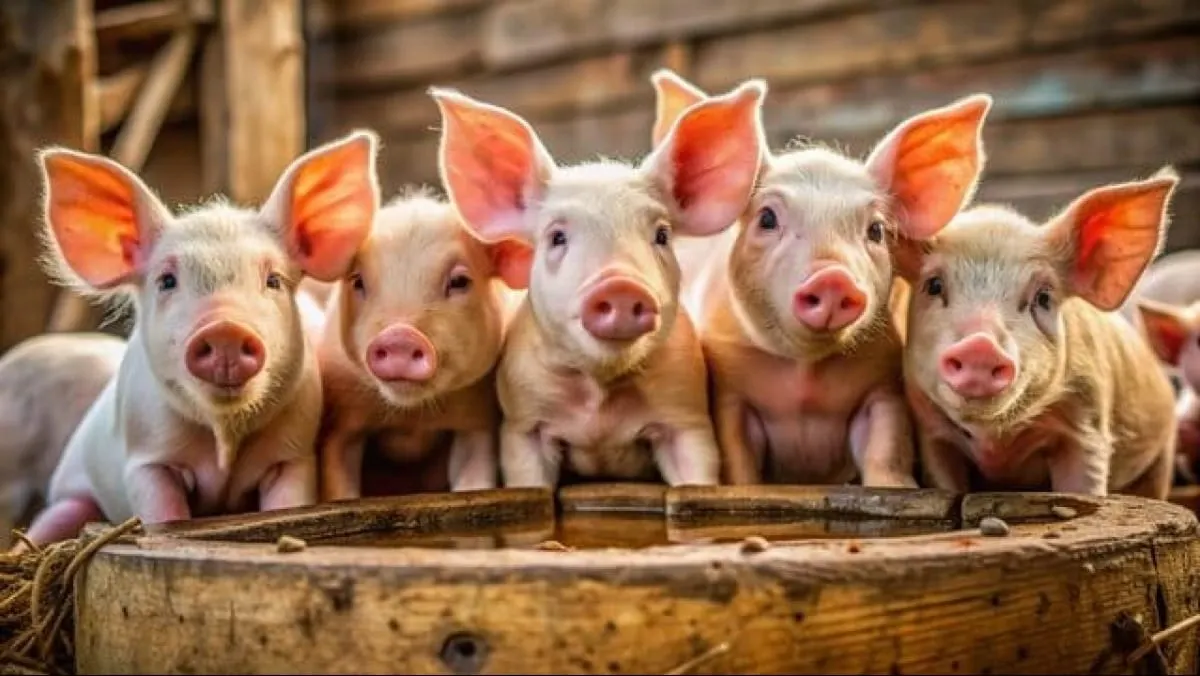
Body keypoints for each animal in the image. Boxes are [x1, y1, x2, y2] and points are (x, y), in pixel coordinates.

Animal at [21, 130, 380, 547]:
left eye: (273, 280)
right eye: (166, 280)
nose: (225, 330)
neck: (224, 440)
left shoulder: (293, 455)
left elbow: (288, 504)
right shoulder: (148, 459)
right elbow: (166, 516)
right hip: (68, 498)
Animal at [317, 188, 528, 501]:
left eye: (459, 281)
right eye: (357, 282)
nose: (399, 336)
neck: (412, 417)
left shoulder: (477, 419)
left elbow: (474, 476)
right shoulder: (342, 418)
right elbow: (339, 484)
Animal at [429, 80, 767, 488]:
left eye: (662, 235)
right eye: (557, 237)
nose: (620, 286)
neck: (600, 400)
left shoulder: (686, 414)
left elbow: (696, 477)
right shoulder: (522, 422)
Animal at [649, 69, 991, 488]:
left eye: (876, 230)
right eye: (767, 218)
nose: (833, 278)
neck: (805, 377)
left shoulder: (883, 385)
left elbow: (886, 446)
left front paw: (896, 487)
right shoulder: (730, 391)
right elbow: (739, 459)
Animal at [899, 169, 1180, 498]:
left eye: (1044, 297)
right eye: (934, 285)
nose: (980, 346)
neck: (995, 442)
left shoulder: (1087, 423)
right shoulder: (932, 431)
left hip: (1162, 457)